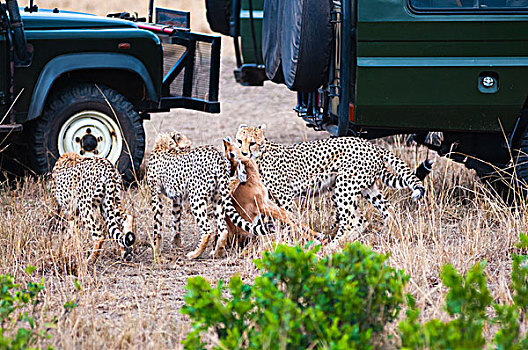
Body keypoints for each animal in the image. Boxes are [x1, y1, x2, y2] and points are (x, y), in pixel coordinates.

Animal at [146, 131, 266, 260]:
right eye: (187, 146)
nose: (189, 149)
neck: (166, 145)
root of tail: (217, 154)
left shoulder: (156, 194)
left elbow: (157, 226)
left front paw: (155, 250)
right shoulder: (177, 199)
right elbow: (176, 222)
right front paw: (176, 244)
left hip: (196, 198)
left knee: (207, 230)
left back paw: (194, 254)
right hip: (218, 198)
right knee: (223, 228)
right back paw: (218, 253)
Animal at [237, 125, 426, 243]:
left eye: (252, 143)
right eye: (240, 141)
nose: (243, 153)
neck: (259, 156)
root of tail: (371, 145)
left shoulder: (285, 196)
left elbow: (287, 219)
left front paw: (285, 242)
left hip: (344, 186)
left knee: (353, 220)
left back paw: (332, 247)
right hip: (365, 187)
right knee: (384, 211)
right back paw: (385, 235)